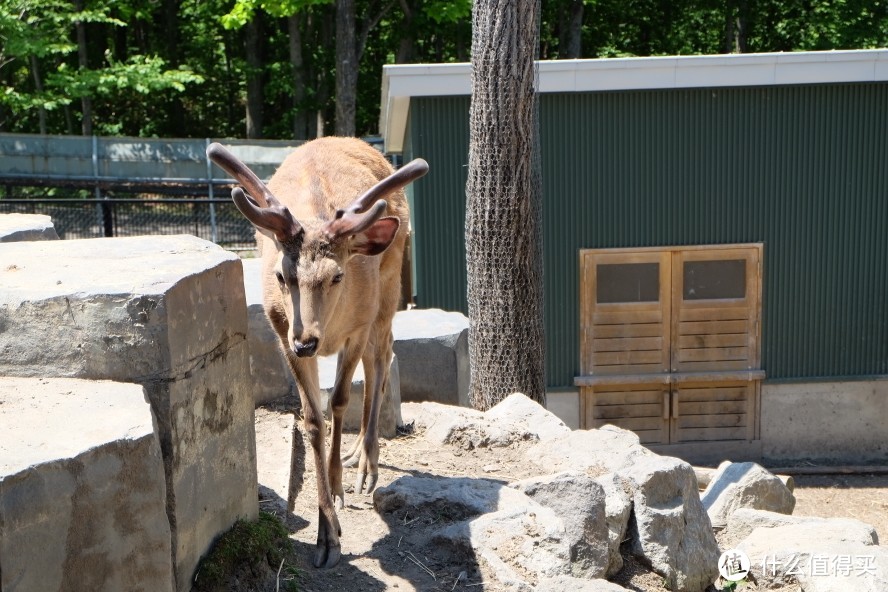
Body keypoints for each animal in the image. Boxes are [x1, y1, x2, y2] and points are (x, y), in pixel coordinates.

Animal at [209, 139, 430, 568]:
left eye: (337, 275)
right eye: (282, 275)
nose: (307, 341)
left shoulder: (357, 327)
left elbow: (340, 400)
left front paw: (339, 493)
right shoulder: (281, 331)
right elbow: (312, 417)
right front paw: (326, 533)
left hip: (388, 288)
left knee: (381, 359)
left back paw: (366, 465)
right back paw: (355, 459)